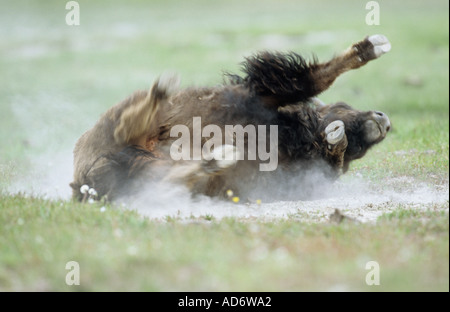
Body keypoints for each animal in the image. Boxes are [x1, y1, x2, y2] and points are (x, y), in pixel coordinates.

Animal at [69, 33, 390, 202]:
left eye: (360, 150)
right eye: (343, 104)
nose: (384, 120)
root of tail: (78, 183)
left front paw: (337, 141)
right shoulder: (259, 96)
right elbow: (311, 80)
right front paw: (372, 47)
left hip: (139, 172)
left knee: (168, 179)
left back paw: (216, 157)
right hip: (118, 131)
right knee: (126, 127)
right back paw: (162, 91)